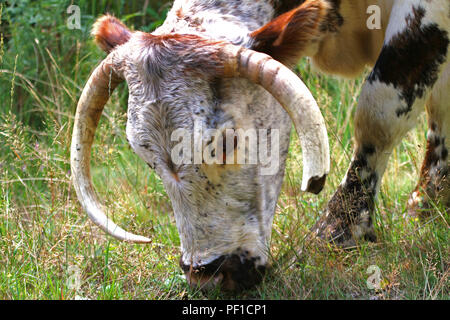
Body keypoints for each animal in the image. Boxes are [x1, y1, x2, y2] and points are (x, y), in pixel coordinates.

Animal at [70, 0, 446, 292]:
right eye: (146, 158)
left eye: (227, 141)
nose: (208, 277)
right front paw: (428, 204)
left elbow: (378, 113)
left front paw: (339, 230)